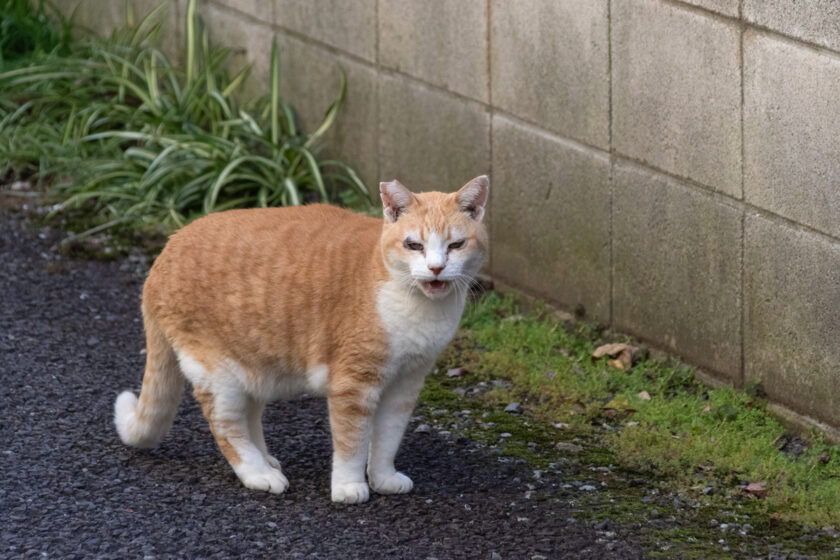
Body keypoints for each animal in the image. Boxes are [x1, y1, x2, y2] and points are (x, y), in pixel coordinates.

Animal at [115, 175, 488, 504]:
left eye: (456, 245)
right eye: (414, 245)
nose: (437, 268)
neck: (419, 308)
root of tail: (165, 250)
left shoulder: (406, 383)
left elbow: (387, 437)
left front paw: (382, 478)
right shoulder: (354, 382)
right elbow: (352, 441)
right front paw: (349, 486)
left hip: (254, 366)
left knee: (250, 415)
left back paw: (266, 459)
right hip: (219, 374)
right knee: (226, 425)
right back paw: (258, 473)